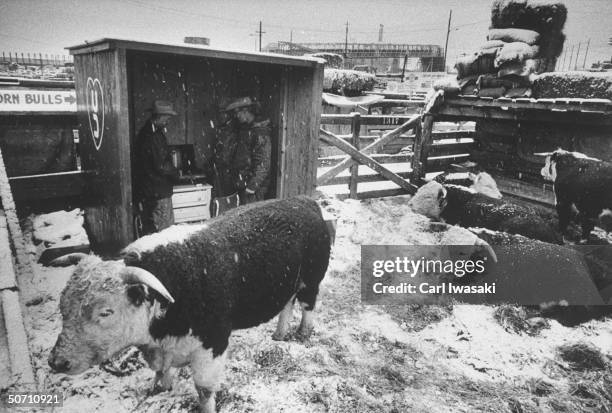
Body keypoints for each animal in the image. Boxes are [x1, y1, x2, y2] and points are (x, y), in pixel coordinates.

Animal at [49, 196, 330, 412]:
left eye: (106, 312)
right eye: (63, 308)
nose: (57, 362)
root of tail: (305, 201)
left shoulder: (213, 343)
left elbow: (204, 390)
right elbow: (161, 376)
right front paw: (161, 388)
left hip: (311, 280)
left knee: (308, 306)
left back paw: (302, 333)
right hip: (288, 284)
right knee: (287, 305)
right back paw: (279, 334)